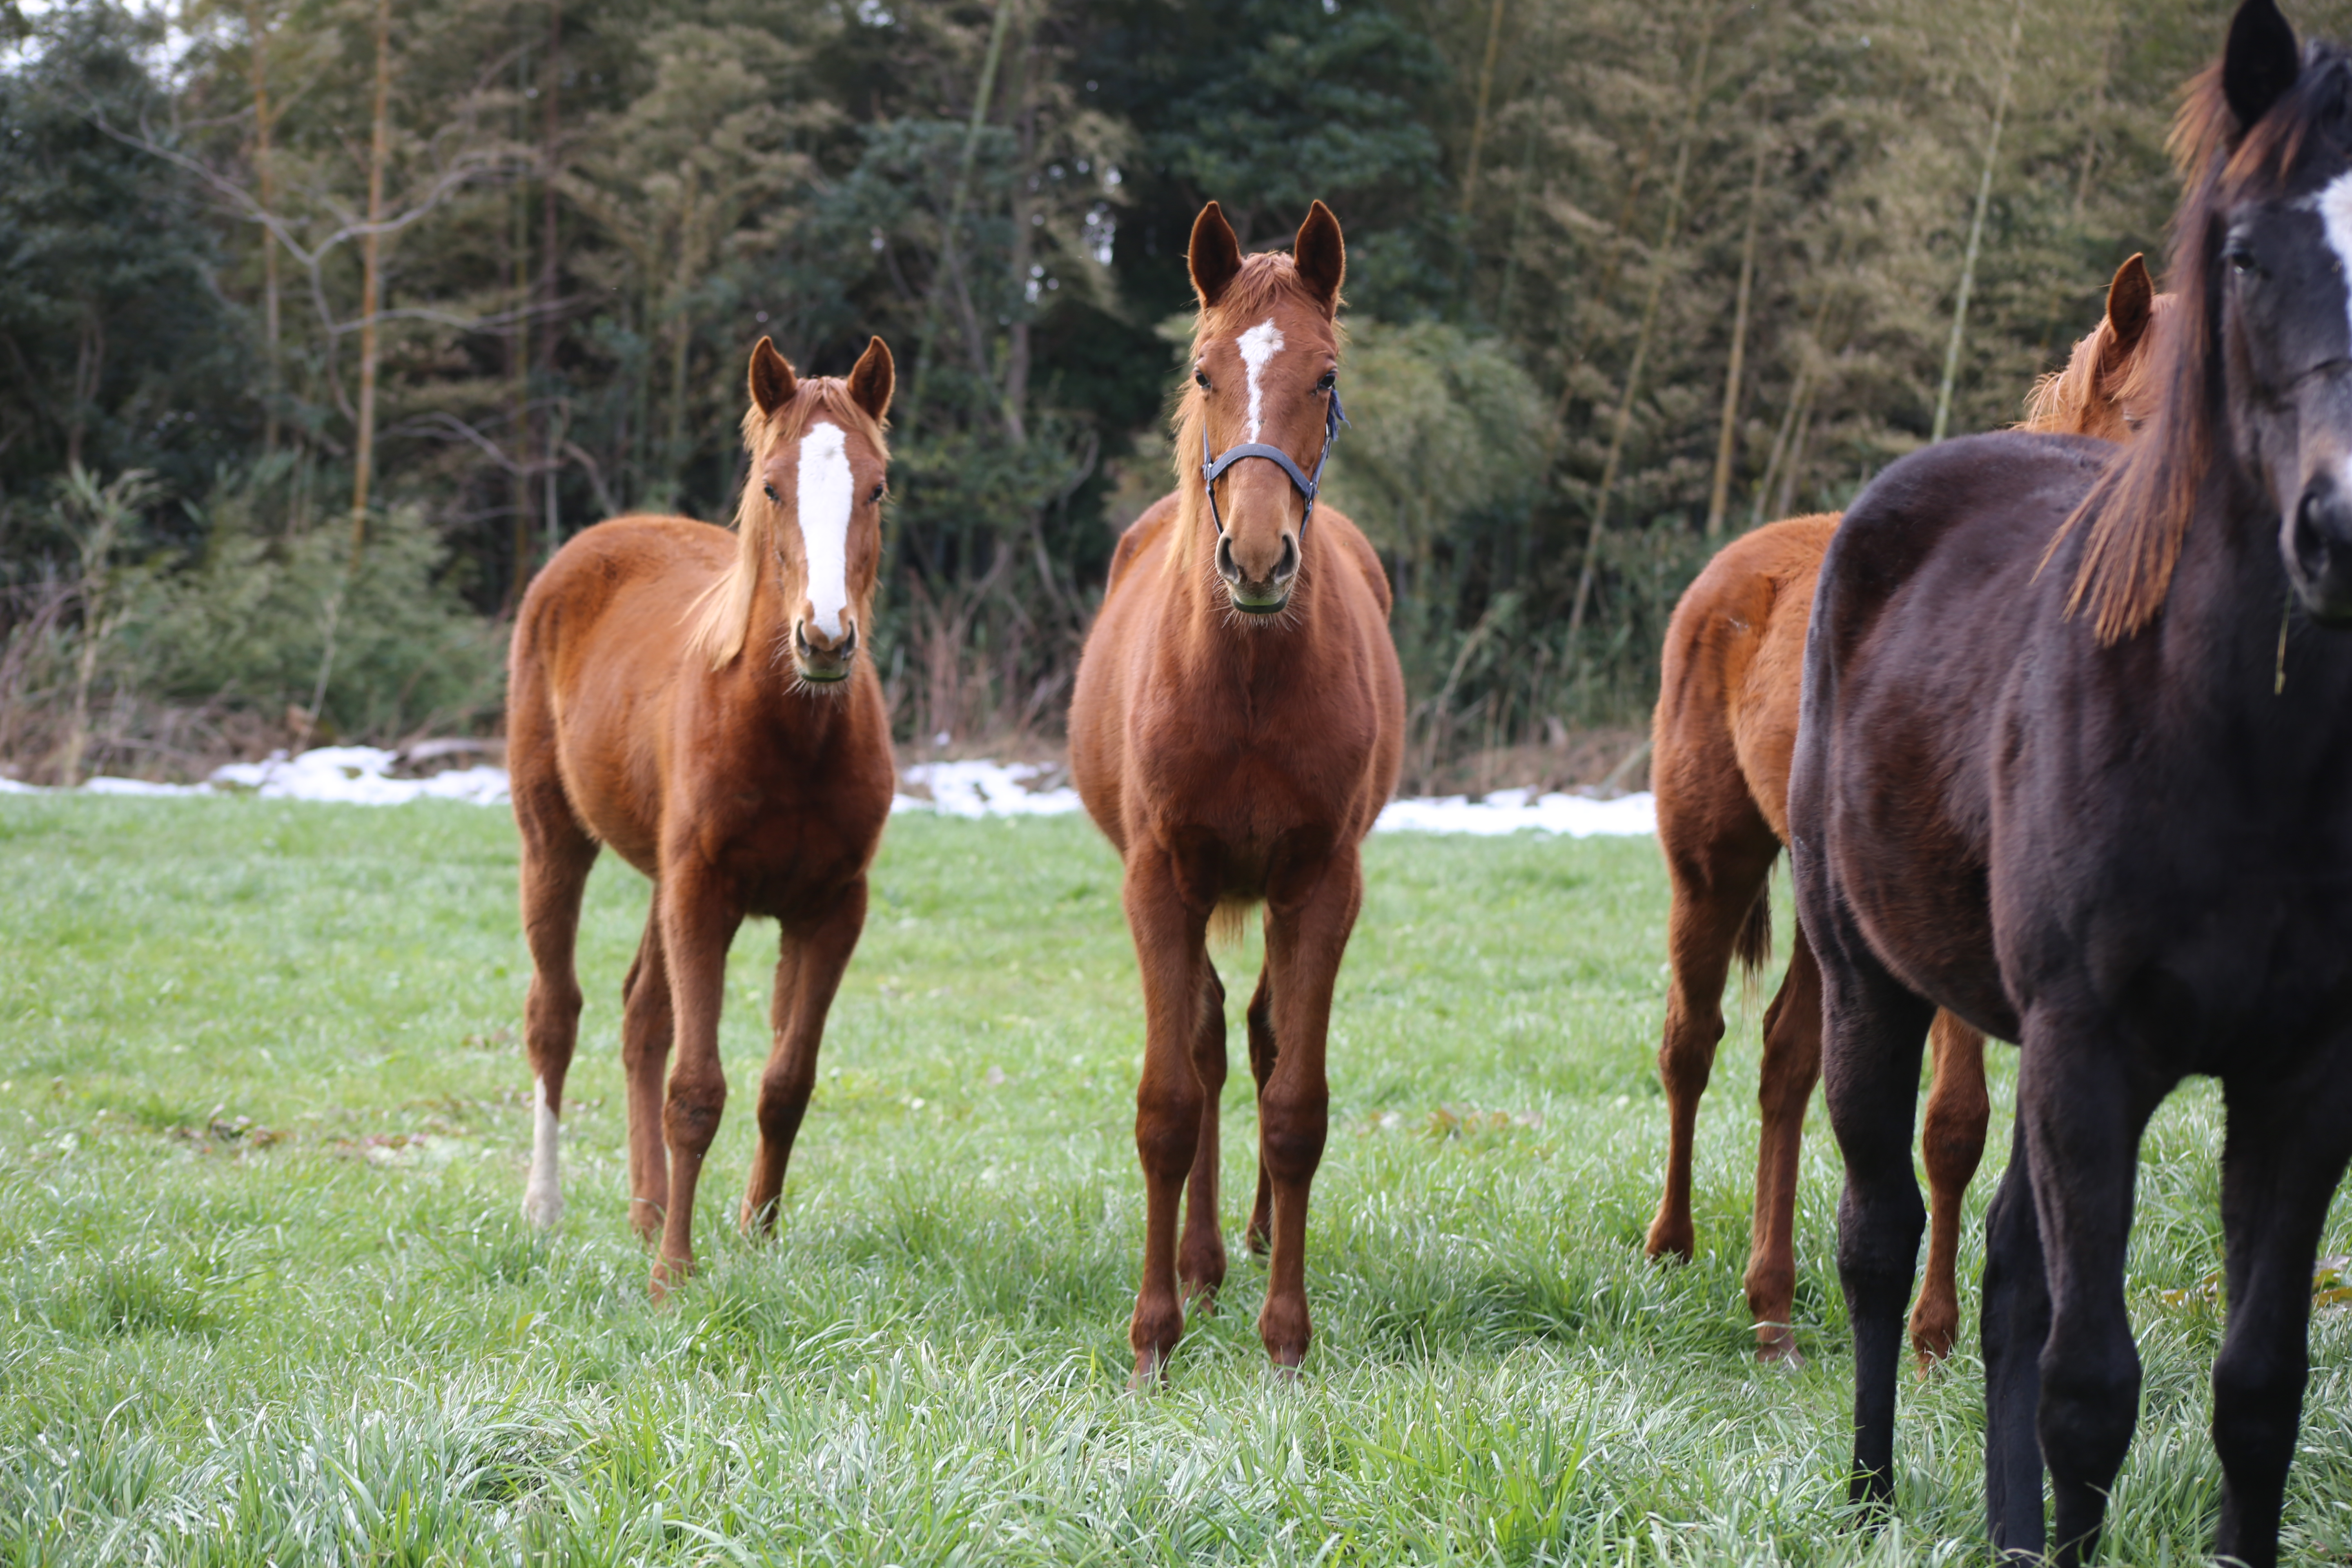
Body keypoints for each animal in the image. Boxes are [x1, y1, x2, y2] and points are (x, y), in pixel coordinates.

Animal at [510, 334, 893, 1297]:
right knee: (555, 1015)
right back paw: (547, 1209)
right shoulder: (703, 898)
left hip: (660, 876)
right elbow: (696, 1090)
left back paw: (647, 1209)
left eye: (877, 486)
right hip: (554, 842)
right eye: (772, 486)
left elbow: (784, 1084)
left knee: (641, 1014)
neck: (791, 731)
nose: (825, 638)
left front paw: (756, 1238)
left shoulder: (832, 909)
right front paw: (674, 1277)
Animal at [1068, 200, 1392, 1382]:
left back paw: (1243, 1244)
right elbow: (1168, 1101)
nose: (1257, 560)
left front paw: (1286, 1336)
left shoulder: (1323, 884)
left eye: (1325, 375)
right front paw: (1153, 1331)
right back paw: (1201, 1263)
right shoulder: (1160, 882)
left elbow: (1296, 1102)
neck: (1247, 680)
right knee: (1207, 1043)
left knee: (1251, 1037)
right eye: (1204, 372)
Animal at [1637, 255, 2164, 1363]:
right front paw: (1930, 1335)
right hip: (1711, 865)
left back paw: (1773, 1306)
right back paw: (1671, 1246)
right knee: (1690, 1040)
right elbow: (1952, 1120)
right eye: (2136, 419)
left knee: (1786, 1060)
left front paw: (1950, 1331)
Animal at [1787, 6, 2352, 1561]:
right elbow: (2093, 1385)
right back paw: (1869, 1492)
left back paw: (2011, 1529)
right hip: (1873, 988)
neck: (2235, 742)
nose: (2342, 526)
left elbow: (2257, 1388)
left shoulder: (2303, 1075)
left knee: (2003, 1276)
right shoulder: (2088, 1047)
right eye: (2244, 253)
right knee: (1882, 1241)